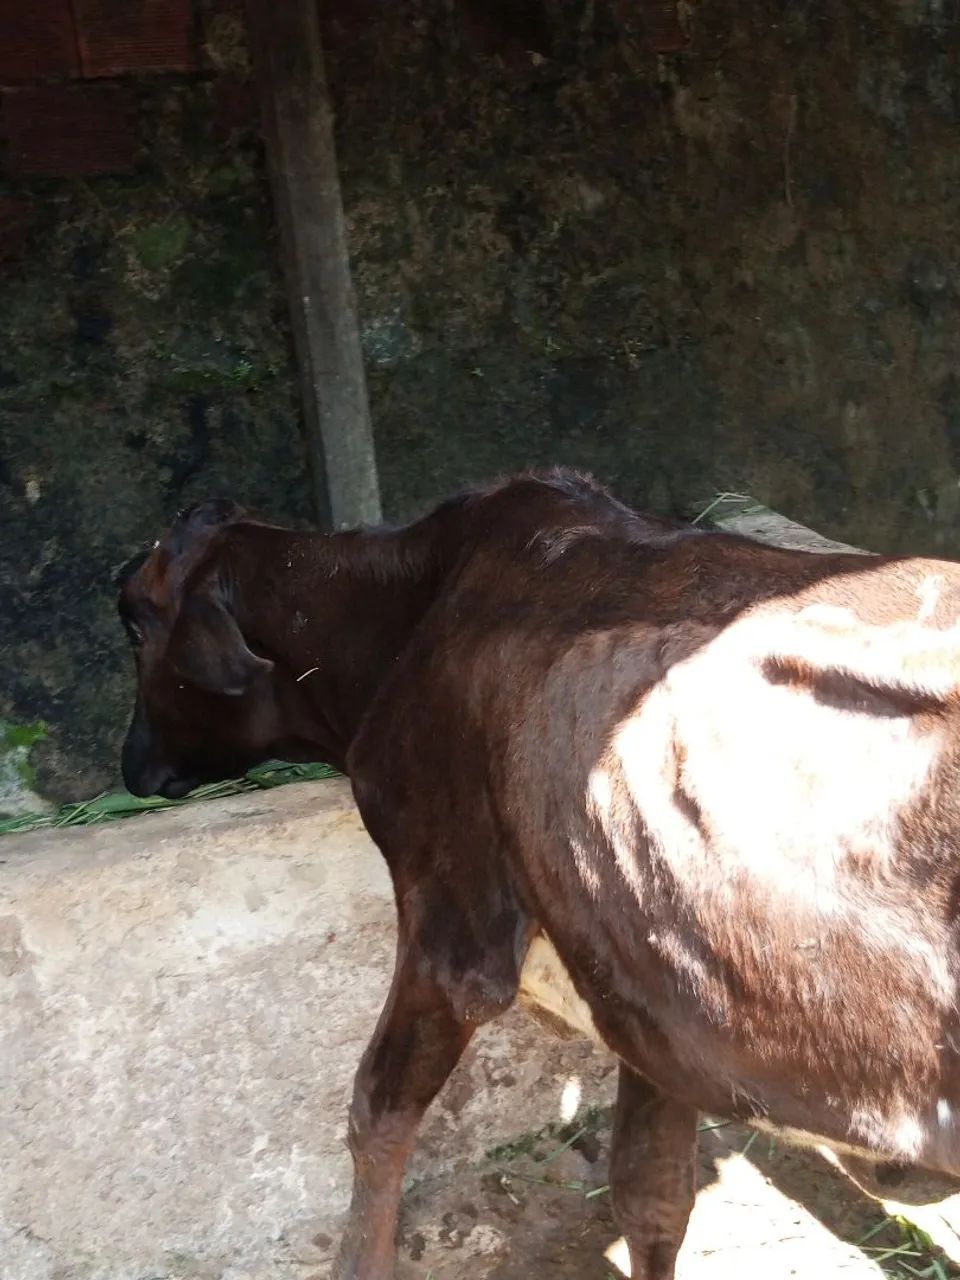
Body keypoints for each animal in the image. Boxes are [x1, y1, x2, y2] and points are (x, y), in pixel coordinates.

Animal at [117, 468, 960, 1280]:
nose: (129, 766)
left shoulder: (455, 932)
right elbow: (651, 1195)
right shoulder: (649, 996)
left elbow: (375, 1116)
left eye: (134, 619)